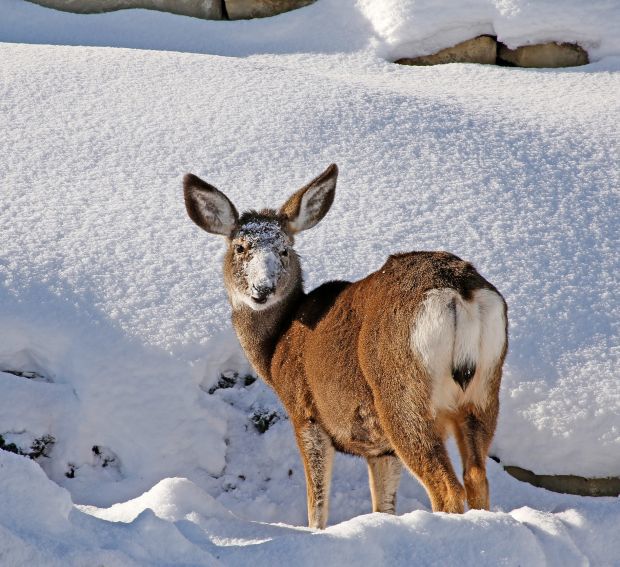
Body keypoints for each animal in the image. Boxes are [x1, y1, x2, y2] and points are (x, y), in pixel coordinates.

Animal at [183, 163, 508, 528]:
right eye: (240, 248)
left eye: (284, 249)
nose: (262, 288)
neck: (276, 346)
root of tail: (459, 291)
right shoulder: (379, 448)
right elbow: (383, 504)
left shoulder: (305, 412)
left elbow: (317, 505)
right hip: (483, 391)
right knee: (477, 477)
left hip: (403, 394)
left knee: (447, 487)